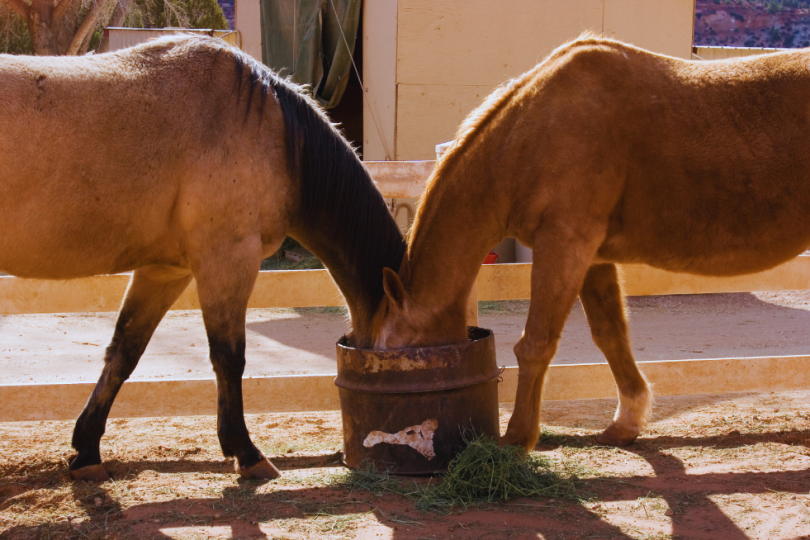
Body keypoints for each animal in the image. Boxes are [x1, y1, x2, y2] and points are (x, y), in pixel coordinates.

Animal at [0, 35, 404, 481]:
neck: (273, 127)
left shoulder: (165, 271)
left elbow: (124, 351)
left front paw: (87, 450)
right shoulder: (227, 259)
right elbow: (229, 356)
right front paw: (246, 452)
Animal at [372, 35, 810, 451]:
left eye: (395, 354)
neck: (532, 131)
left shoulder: (564, 245)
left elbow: (536, 343)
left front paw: (516, 439)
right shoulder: (592, 258)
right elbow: (611, 336)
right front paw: (626, 423)